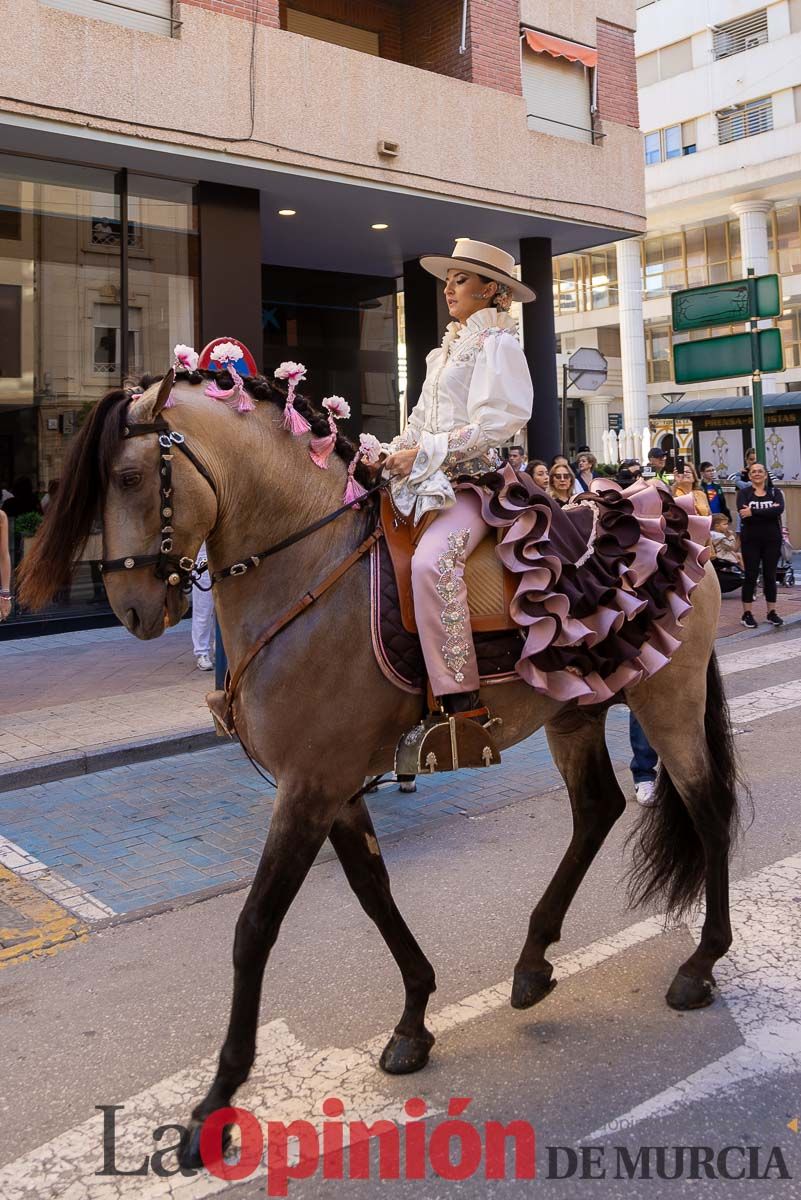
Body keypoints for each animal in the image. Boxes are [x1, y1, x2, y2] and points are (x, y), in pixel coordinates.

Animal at [18, 367, 743, 1161]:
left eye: (127, 476)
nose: (130, 608)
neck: (304, 570)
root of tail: (684, 523)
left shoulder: (309, 786)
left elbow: (255, 925)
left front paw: (216, 1102)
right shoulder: (331, 784)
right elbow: (372, 891)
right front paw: (413, 1021)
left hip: (666, 698)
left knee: (706, 808)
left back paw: (699, 966)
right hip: (576, 708)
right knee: (596, 811)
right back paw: (531, 964)